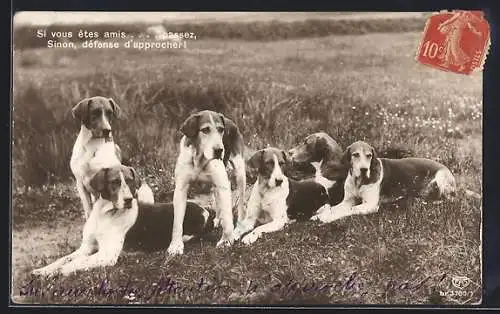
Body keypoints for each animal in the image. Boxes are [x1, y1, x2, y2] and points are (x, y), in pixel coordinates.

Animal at [31, 164, 213, 278]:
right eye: (115, 182)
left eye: (130, 181)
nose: (128, 200)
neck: (104, 214)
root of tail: (205, 210)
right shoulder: (86, 247)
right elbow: (63, 259)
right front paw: (44, 270)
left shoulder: (107, 254)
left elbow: (77, 262)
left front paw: (62, 271)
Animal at [168, 110, 246, 255]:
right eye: (205, 130)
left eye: (221, 129)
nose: (219, 150)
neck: (200, 159)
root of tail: (229, 120)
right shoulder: (181, 189)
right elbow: (177, 222)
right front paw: (175, 245)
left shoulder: (223, 185)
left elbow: (228, 219)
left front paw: (226, 240)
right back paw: (218, 219)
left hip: (240, 173)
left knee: (241, 205)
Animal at [312, 140, 458, 223]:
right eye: (355, 155)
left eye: (369, 155)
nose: (364, 169)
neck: (359, 181)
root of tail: (446, 168)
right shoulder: (347, 201)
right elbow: (334, 207)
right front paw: (320, 214)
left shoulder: (370, 205)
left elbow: (350, 209)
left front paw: (327, 218)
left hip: (441, 178)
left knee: (449, 200)